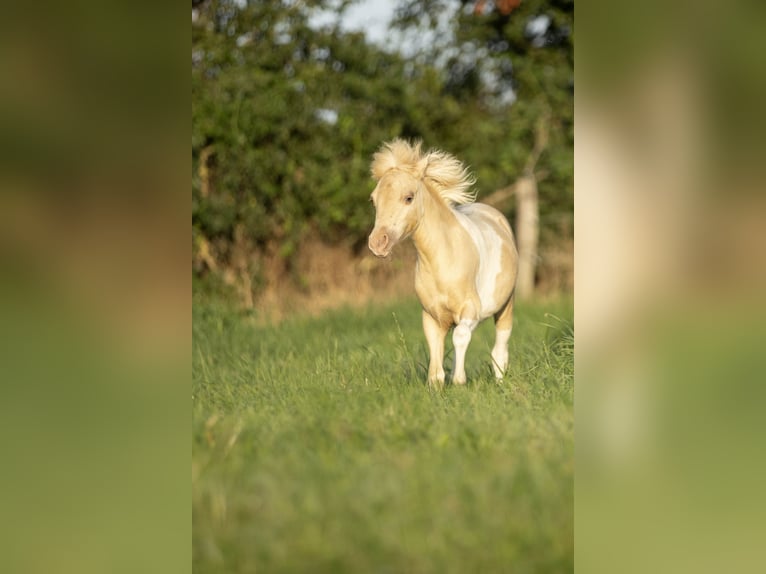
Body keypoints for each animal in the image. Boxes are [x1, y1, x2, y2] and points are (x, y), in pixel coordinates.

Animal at [368, 142, 520, 390]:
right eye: (373, 200)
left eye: (408, 198)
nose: (378, 242)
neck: (442, 262)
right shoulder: (432, 316)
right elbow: (436, 358)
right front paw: (439, 385)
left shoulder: (470, 309)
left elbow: (460, 337)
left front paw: (459, 381)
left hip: (506, 306)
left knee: (499, 349)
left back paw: (500, 382)